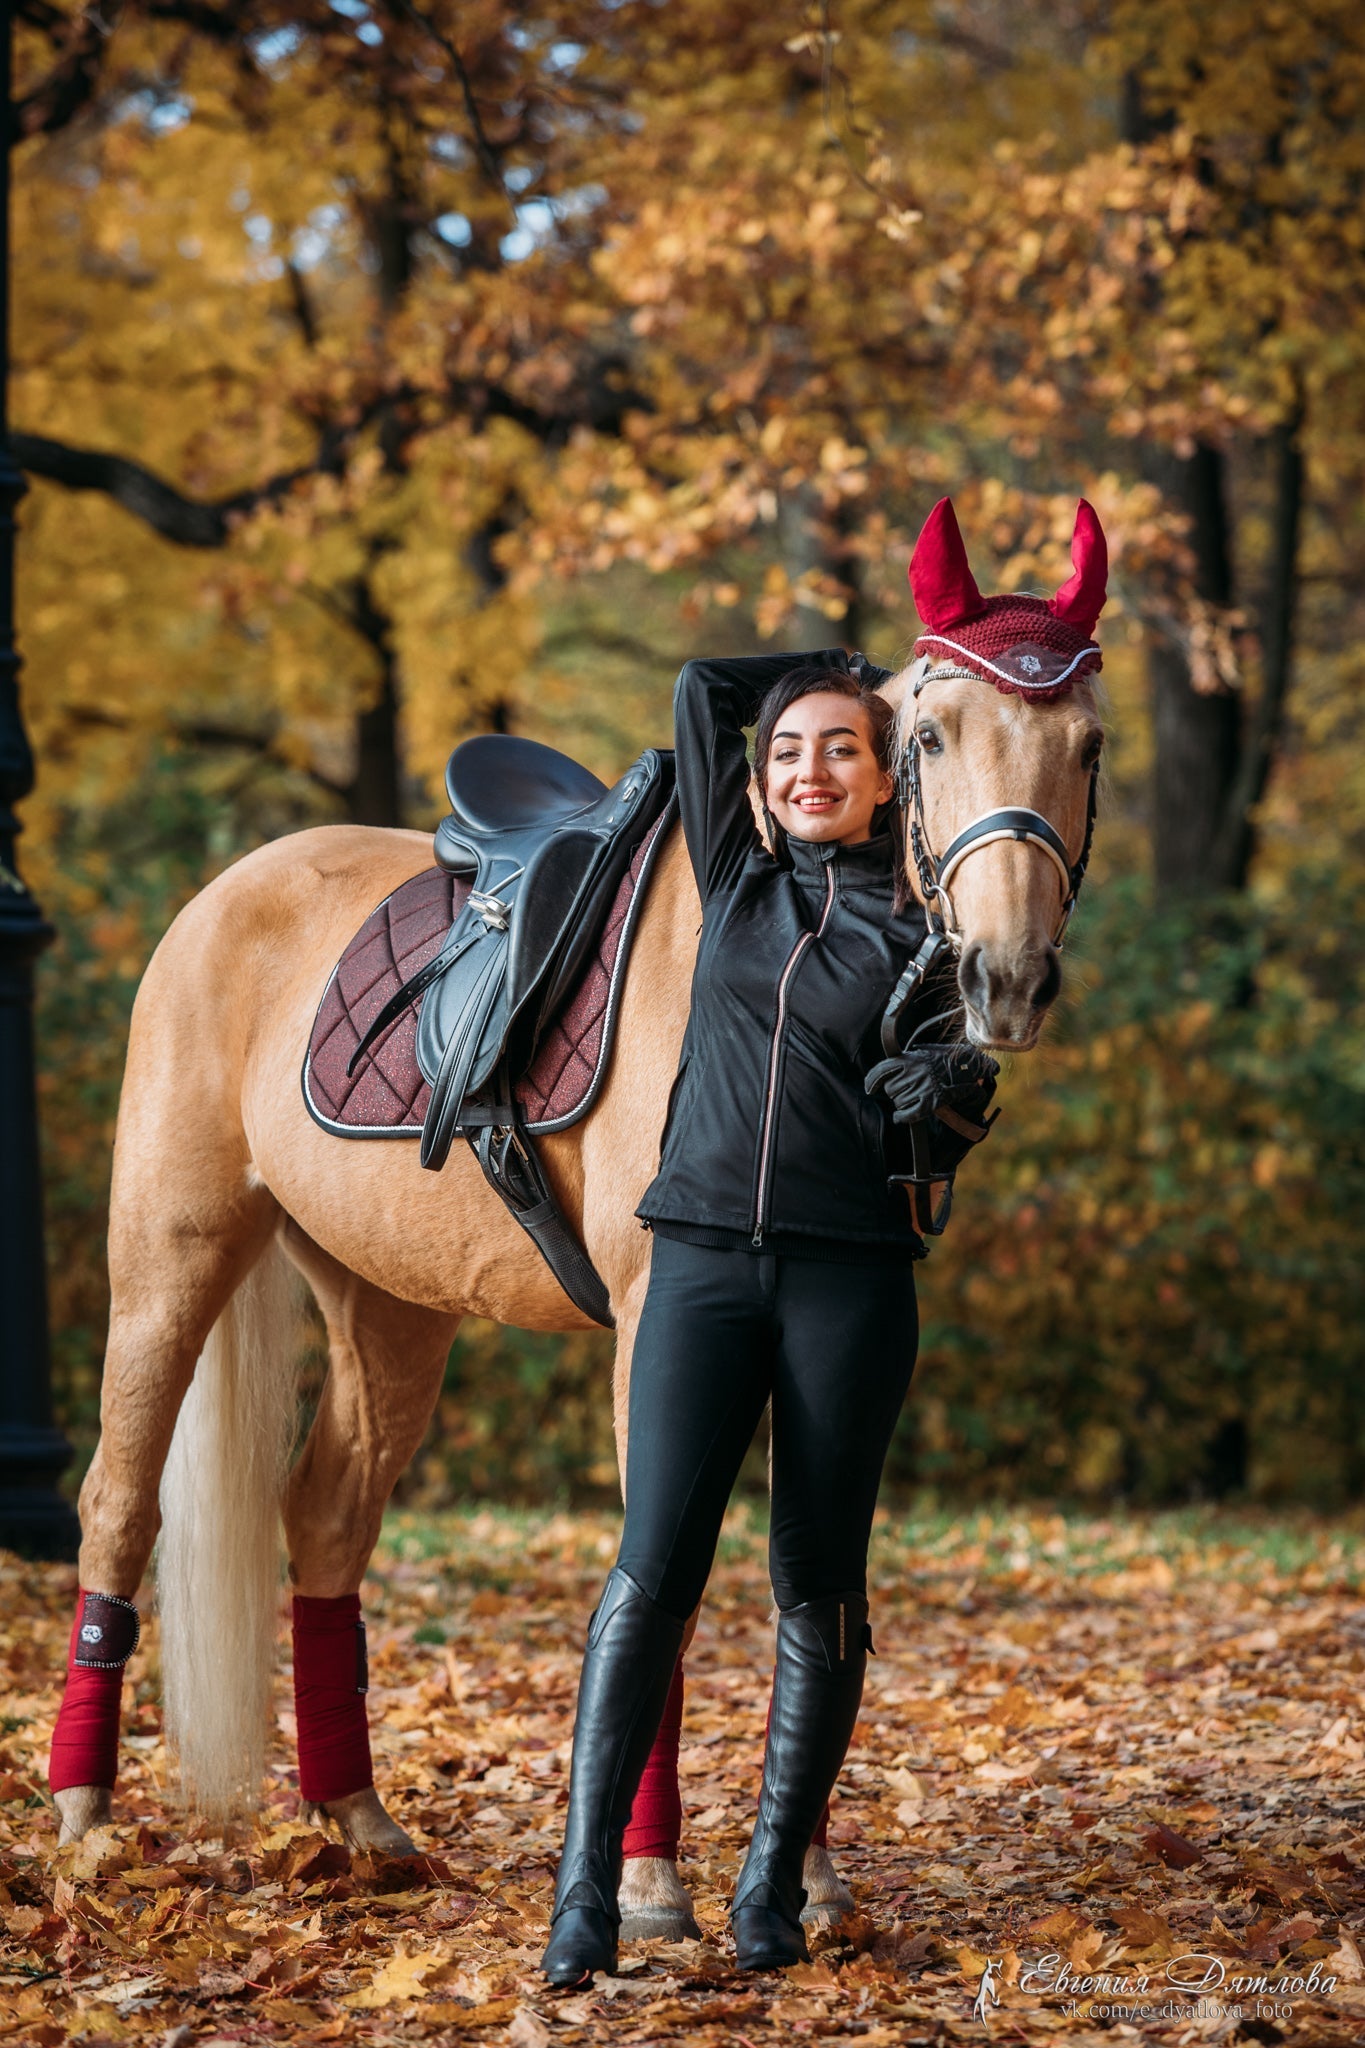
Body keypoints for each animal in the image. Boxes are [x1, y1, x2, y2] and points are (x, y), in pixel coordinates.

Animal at [48, 503, 1113, 1941]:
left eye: (1088, 742)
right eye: (933, 736)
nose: (1005, 976)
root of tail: (221, 895)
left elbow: (805, 1582)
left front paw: (804, 1883)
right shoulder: (655, 1322)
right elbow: (667, 1588)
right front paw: (653, 1890)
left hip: (390, 1310)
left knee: (324, 1515)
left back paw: (359, 1820)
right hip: (174, 1252)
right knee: (117, 1499)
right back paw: (84, 1820)